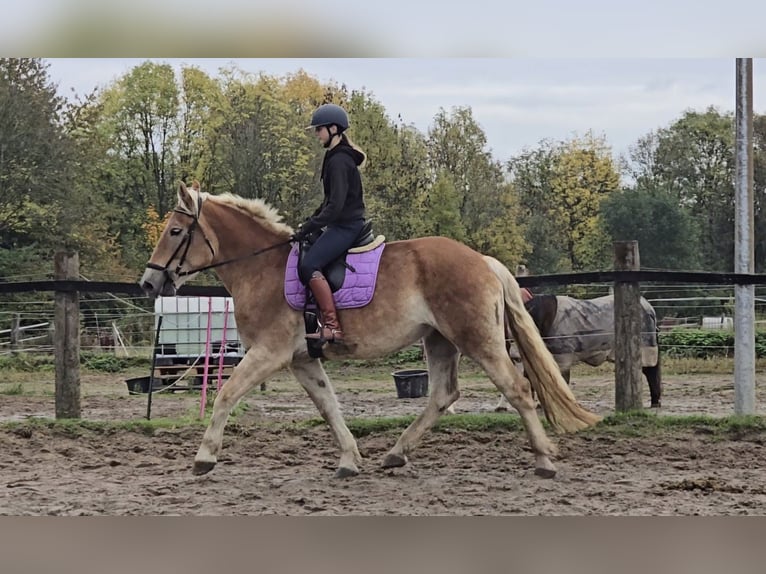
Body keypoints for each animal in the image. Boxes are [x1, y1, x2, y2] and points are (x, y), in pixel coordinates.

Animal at [140, 181, 601, 480]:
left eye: (176, 231)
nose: (149, 282)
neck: (262, 267)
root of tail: (482, 260)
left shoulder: (269, 353)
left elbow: (226, 394)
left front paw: (204, 458)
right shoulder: (303, 359)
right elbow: (329, 406)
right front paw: (348, 459)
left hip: (478, 339)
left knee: (517, 389)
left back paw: (543, 461)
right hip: (439, 340)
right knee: (443, 395)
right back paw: (396, 454)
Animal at [490, 293, 662, 411]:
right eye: (508, 334)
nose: (514, 355)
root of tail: (649, 307)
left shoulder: (562, 356)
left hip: (646, 346)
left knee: (651, 370)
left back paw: (655, 401)